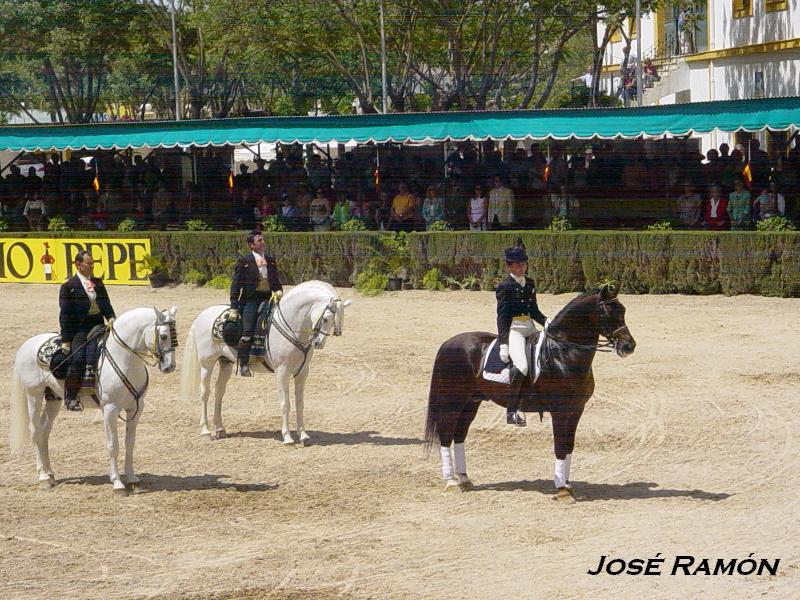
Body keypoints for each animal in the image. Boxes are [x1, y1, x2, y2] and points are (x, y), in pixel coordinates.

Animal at [9, 308, 179, 494]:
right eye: (163, 336)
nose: (170, 367)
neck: (124, 358)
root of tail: (27, 344)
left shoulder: (136, 408)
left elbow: (130, 443)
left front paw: (132, 478)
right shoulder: (110, 409)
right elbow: (113, 445)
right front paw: (117, 483)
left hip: (53, 398)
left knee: (44, 433)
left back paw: (50, 474)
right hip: (34, 395)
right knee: (35, 431)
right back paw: (43, 478)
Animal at [185, 278, 354, 442]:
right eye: (326, 318)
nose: (319, 343)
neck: (291, 325)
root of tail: (202, 315)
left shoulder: (302, 372)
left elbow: (300, 403)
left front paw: (303, 435)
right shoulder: (282, 372)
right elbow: (285, 404)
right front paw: (287, 437)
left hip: (225, 362)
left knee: (219, 391)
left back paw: (220, 429)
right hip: (207, 364)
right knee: (204, 392)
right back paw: (206, 431)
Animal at [422, 286, 636, 502]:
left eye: (624, 310)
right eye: (608, 313)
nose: (629, 346)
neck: (563, 353)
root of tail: (448, 343)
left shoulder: (576, 410)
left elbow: (569, 446)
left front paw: (567, 485)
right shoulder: (560, 412)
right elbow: (560, 447)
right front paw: (562, 490)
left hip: (471, 403)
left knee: (459, 435)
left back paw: (464, 479)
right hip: (453, 401)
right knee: (446, 434)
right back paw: (451, 482)